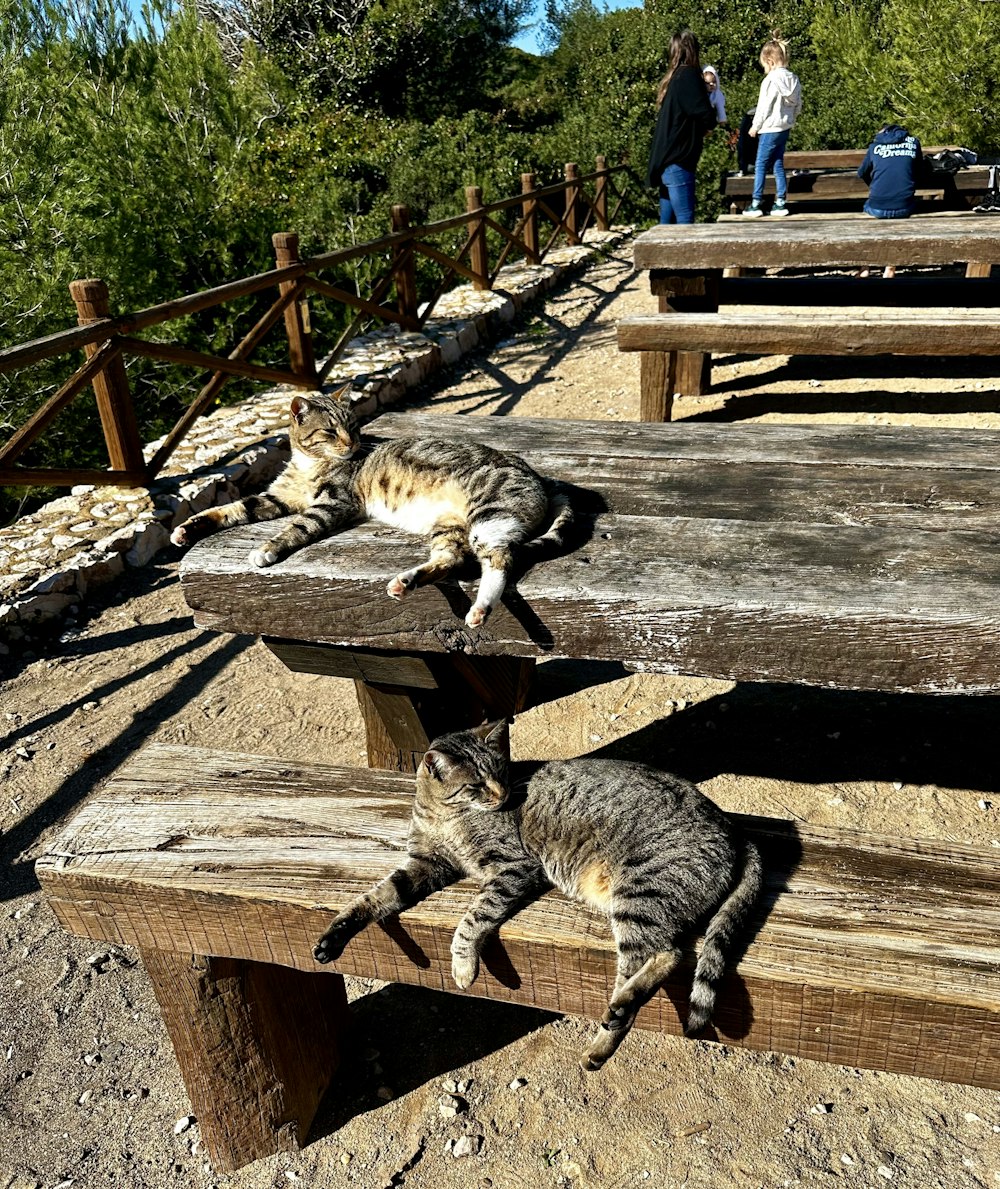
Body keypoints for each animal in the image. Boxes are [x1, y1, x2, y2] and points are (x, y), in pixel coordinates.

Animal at [167, 389, 570, 632]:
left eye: (354, 425)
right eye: (330, 432)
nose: (351, 443)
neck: (310, 463)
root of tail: (542, 478)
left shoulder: (334, 502)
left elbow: (298, 526)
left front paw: (267, 548)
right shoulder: (278, 496)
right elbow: (232, 508)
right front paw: (186, 529)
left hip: (488, 515)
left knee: (500, 559)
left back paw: (480, 609)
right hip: (451, 525)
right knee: (452, 559)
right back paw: (405, 583)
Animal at [311, 718, 756, 1074]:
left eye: (501, 771)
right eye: (475, 784)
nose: (501, 793)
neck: (446, 816)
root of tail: (733, 828)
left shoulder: (514, 867)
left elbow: (472, 918)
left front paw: (463, 966)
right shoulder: (424, 865)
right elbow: (373, 898)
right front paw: (333, 936)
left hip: (639, 896)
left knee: (666, 956)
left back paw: (604, 1037)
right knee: (650, 966)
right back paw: (607, 1029)